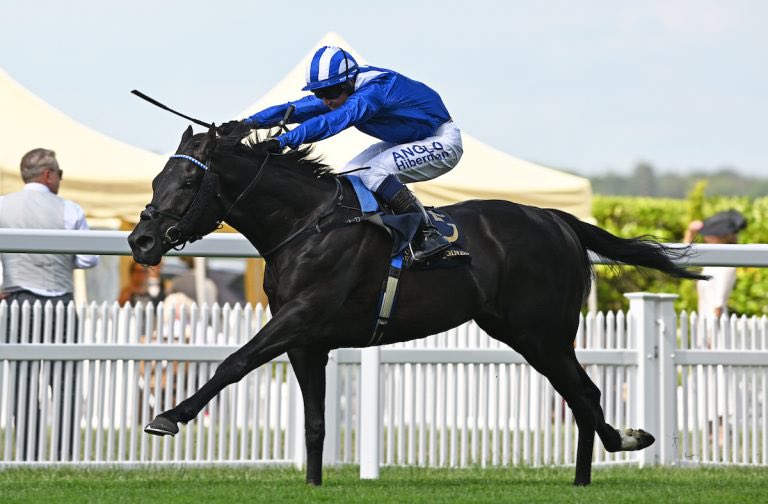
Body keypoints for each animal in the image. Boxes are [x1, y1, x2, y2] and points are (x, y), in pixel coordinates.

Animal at [128, 124, 706, 486]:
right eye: (156, 179)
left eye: (187, 180)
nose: (140, 240)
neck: (306, 224)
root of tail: (557, 219)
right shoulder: (307, 340)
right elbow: (314, 422)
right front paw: (313, 484)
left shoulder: (301, 316)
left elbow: (234, 361)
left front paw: (170, 417)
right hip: (525, 334)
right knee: (580, 396)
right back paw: (598, 463)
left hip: (542, 332)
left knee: (584, 393)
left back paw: (609, 454)